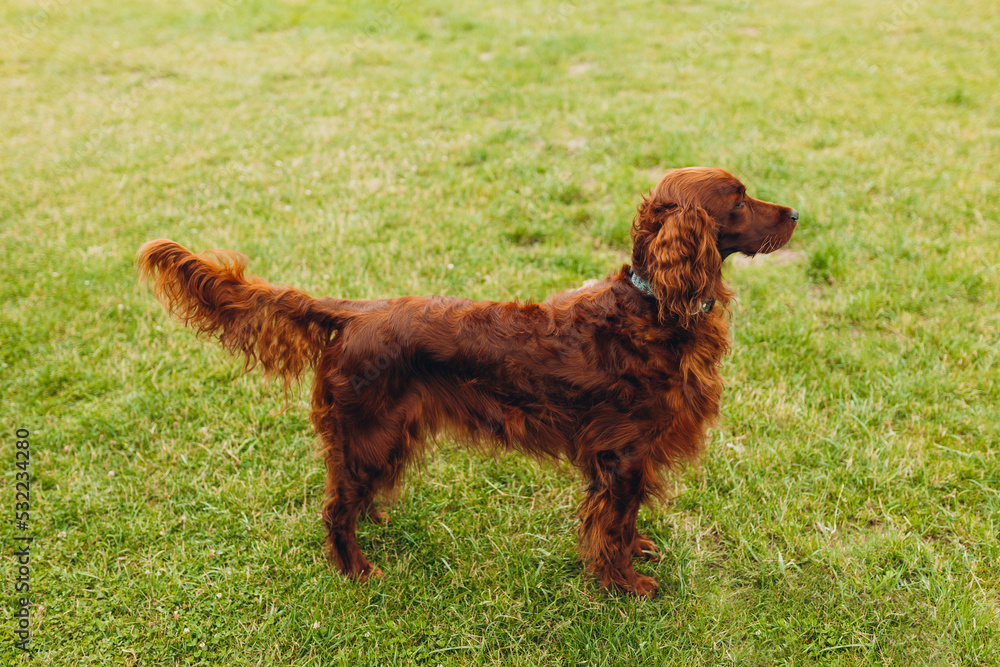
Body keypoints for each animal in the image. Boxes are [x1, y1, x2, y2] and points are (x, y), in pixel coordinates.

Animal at [139, 168, 796, 600]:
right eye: (739, 199)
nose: (796, 214)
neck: (651, 307)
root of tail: (352, 313)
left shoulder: (622, 459)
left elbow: (622, 522)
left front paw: (633, 558)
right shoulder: (625, 454)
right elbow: (612, 524)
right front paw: (626, 583)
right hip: (370, 432)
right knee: (333, 508)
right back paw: (357, 570)